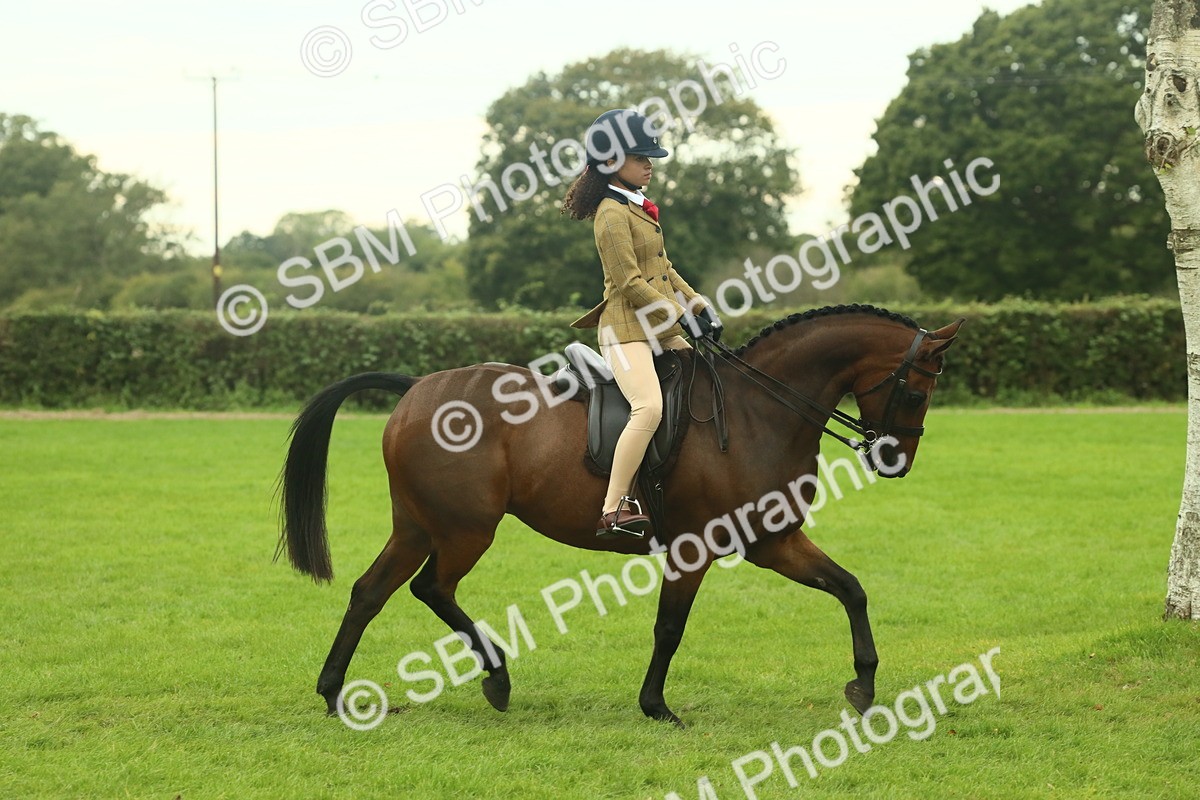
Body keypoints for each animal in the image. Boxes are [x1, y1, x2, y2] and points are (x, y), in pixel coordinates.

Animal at [278, 304, 963, 726]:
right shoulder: (696, 547)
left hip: (419, 526)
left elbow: (851, 588)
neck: (757, 411)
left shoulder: (773, 539)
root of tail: (418, 388)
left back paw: (335, 693)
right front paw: (656, 706)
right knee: (431, 588)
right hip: (465, 530)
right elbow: (670, 628)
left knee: (371, 592)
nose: (895, 460)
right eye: (917, 389)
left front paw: (864, 685)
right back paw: (497, 680)